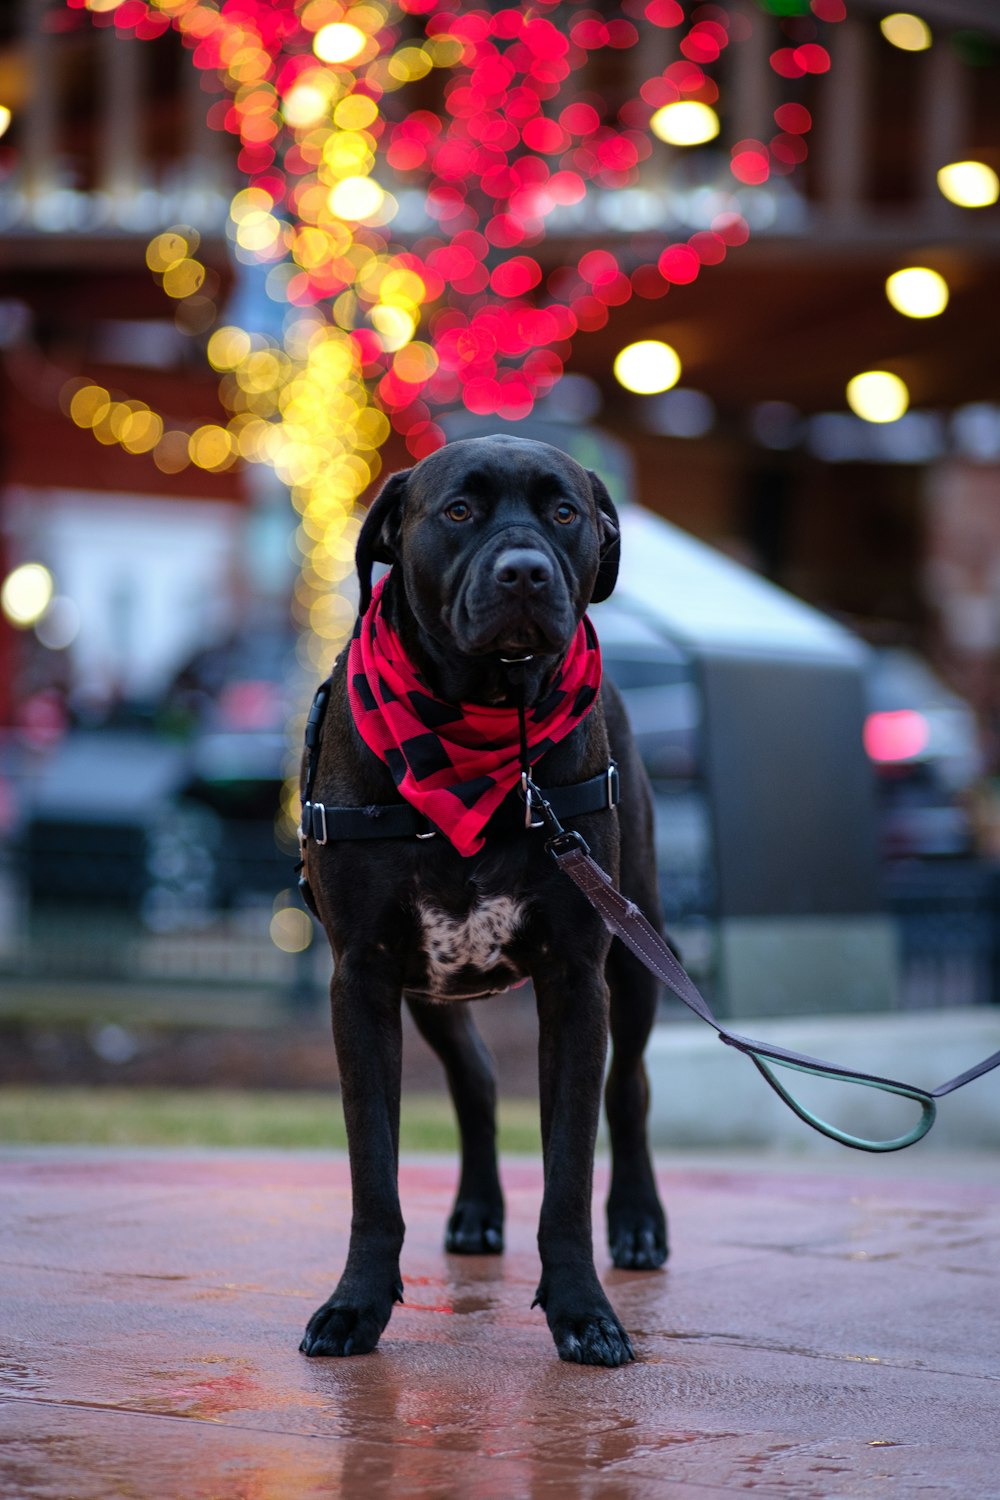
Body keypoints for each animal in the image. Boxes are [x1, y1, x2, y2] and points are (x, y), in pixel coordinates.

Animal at [299, 438, 671, 1374]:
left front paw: (584, 1311)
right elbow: (374, 1167)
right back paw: (476, 1211)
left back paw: (639, 1221)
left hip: (638, 946)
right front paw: (356, 1305)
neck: (483, 721)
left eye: (564, 512)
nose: (525, 571)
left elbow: (570, 1166)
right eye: (459, 511)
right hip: (432, 989)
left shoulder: (578, 977)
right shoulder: (363, 977)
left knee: (630, 1088)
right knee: (475, 1079)